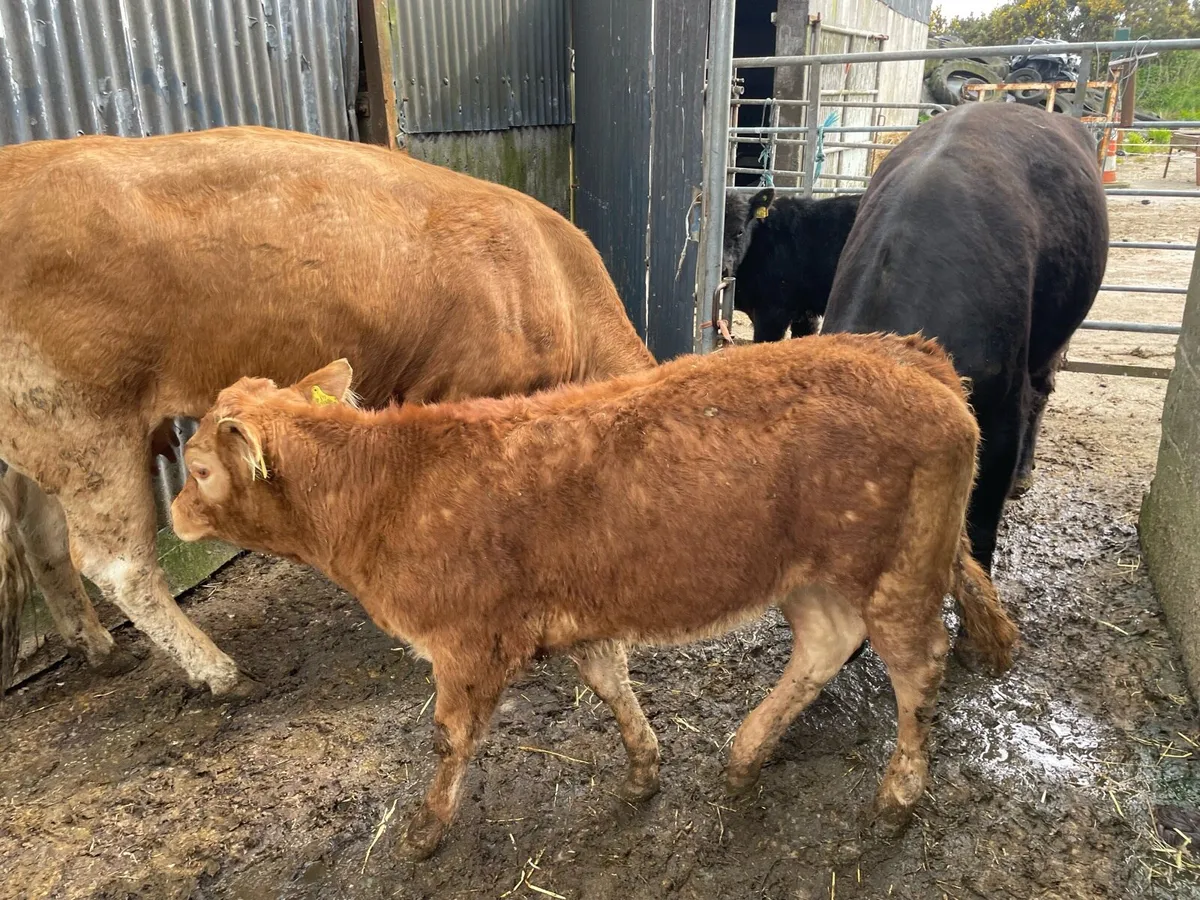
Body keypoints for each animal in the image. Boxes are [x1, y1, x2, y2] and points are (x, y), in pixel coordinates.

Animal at [0, 125, 655, 699]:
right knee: (118, 564)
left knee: (45, 541)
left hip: (40, 439)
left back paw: (102, 650)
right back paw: (221, 674)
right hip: (83, 426)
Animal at [170, 336, 1019, 860]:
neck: (388, 486)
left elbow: (450, 740)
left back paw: (899, 793)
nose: (173, 513)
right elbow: (610, 685)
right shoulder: (576, 612)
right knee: (825, 643)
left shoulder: (465, 644)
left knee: (918, 667)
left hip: (894, 570)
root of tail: (908, 355)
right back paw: (745, 755)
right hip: (814, 574)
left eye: (200, 468)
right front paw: (645, 769)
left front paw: (424, 829)